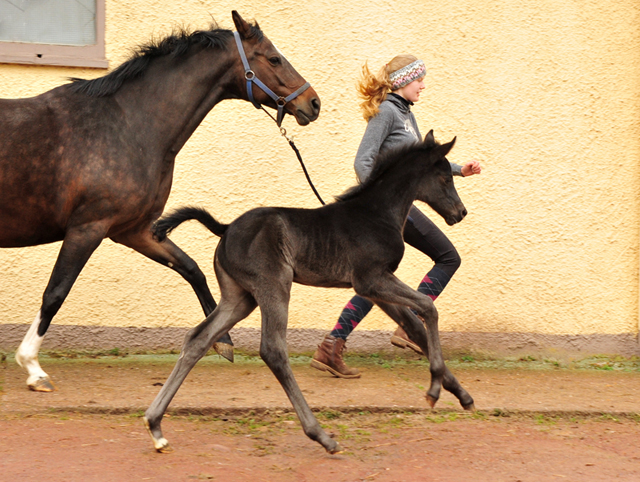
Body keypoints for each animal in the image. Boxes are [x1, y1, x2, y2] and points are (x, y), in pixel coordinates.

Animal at [0, 10, 320, 392]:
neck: (128, 125)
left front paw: (222, 342)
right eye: (273, 58)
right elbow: (55, 293)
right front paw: (32, 367)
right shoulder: (87, 227)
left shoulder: (133, 230)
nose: (313, 103)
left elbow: (191, 268)